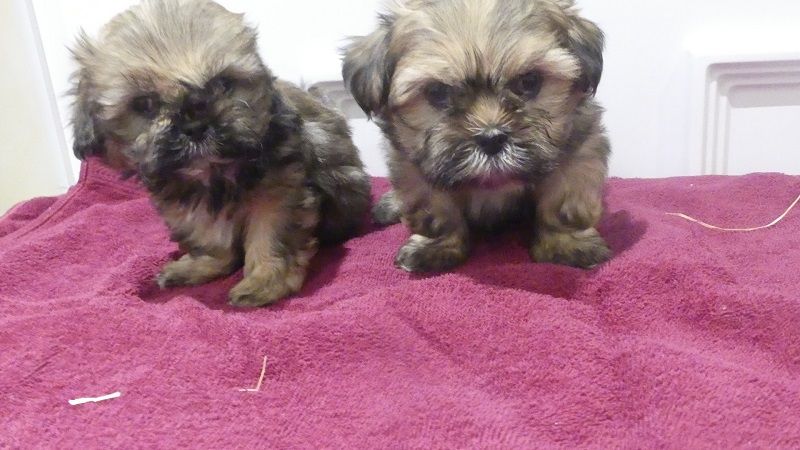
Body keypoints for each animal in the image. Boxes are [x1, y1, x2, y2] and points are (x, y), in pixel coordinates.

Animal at [70, 0, 371, 306]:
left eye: (223, 84)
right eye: (145, 104)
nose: (195, 126)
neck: (212, 174)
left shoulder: (280, 191)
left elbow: (270, 233)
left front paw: (265, 280)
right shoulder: (185, 205)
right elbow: (210, 236)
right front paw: (203, 265)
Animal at [343, 0, 611, 272]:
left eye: (529, 82)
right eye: (437, 92)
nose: (491, 138)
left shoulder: (577, 153)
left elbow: (563, 202)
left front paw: (566, 244)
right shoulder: (415, 168)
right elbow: (437, 210)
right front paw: (436, 246)